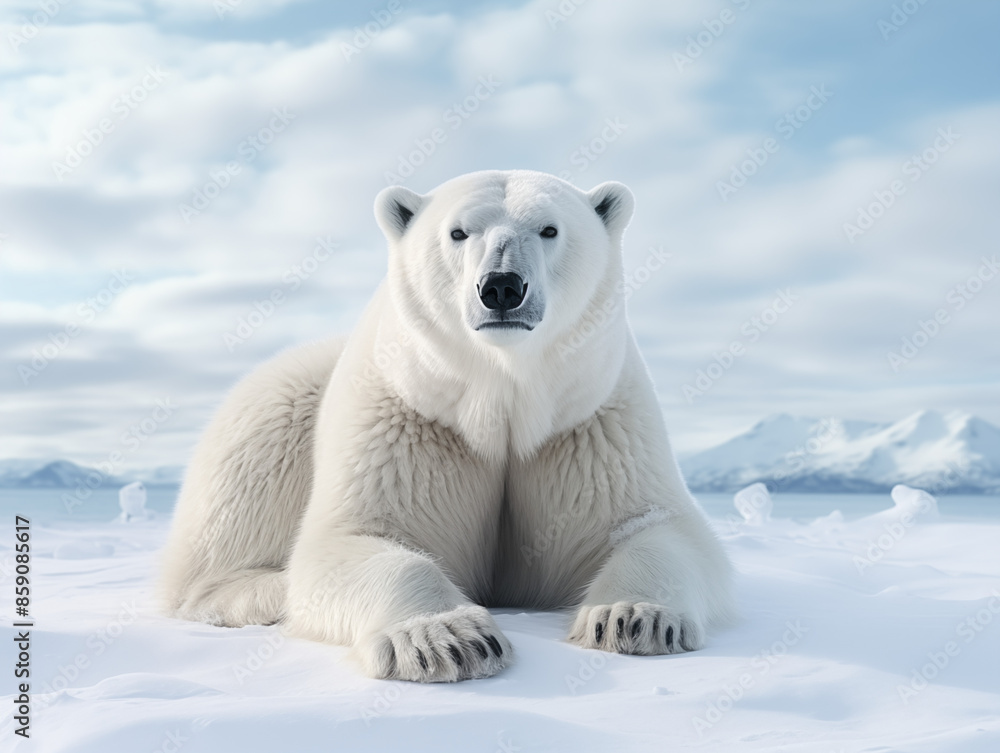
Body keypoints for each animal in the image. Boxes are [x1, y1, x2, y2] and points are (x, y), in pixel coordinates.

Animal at [159, 169, 735, 682]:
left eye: (549, 229)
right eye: (459, 232)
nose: (501, 286)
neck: (503, 397)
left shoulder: (591, 422)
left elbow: (655, 524)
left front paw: (633, 617)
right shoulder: (408, 419)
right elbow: (356, 536)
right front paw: (450, 639)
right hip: (275, 407)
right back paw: (269, 591)